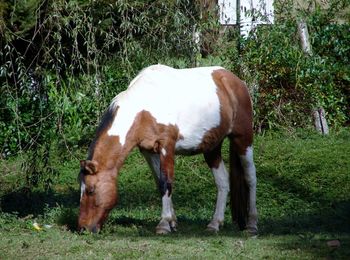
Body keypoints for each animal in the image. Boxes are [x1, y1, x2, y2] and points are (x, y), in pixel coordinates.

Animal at [77, 64, 258, 235]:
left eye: (91, 190)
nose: (83, 228)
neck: (143, 108)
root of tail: (237, 82)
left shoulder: (167, 146)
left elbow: (166, 182)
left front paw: (163, 224)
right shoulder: (149, 151)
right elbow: (159, 182)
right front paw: (172, 222)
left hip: (243, 140)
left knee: (250, 177)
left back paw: (252, 225)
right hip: (212, 148)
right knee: (223, 182)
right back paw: (214, 224)